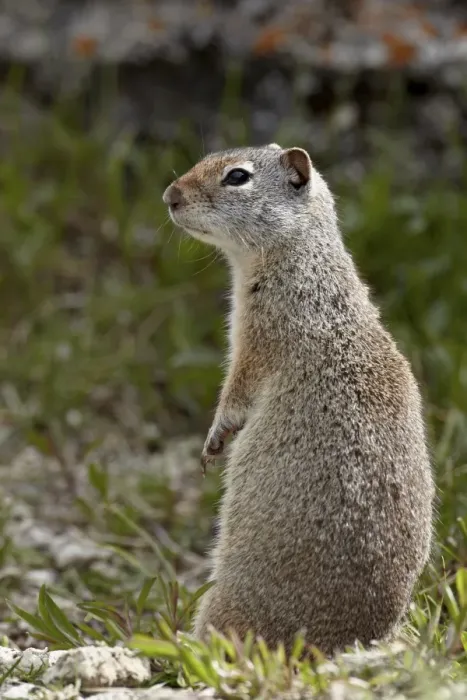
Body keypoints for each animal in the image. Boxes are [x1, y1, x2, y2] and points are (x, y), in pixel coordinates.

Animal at [163, 144, 435, 655]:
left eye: (237, 176)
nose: (170, 195)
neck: (301, 255)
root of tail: (346, 644)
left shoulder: (258, 340)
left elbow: (236, 392)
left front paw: (214, 440)